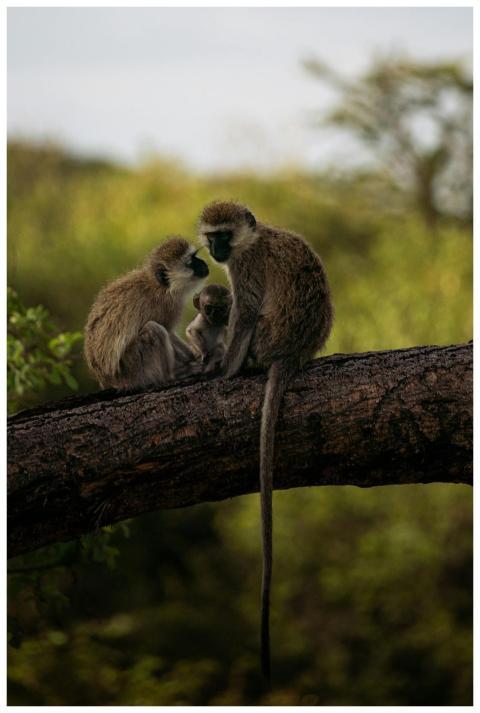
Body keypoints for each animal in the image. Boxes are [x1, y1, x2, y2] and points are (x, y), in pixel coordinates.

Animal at [84, 237, 209, 390]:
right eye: (190, 262)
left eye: (195, 256)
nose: (203, 263)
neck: (159, 286)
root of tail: (109, 381)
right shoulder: (167, 306)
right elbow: (169, 331)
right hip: (134, 370)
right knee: (153, 329)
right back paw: (171, 375)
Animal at [198, 201, 333, 682]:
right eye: (211, 235)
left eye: (224, 235)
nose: (216, 250)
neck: (253, 240)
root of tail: (291, 353)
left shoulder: (245, 269)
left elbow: (246, 312)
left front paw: (223, 373)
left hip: (265, 339)